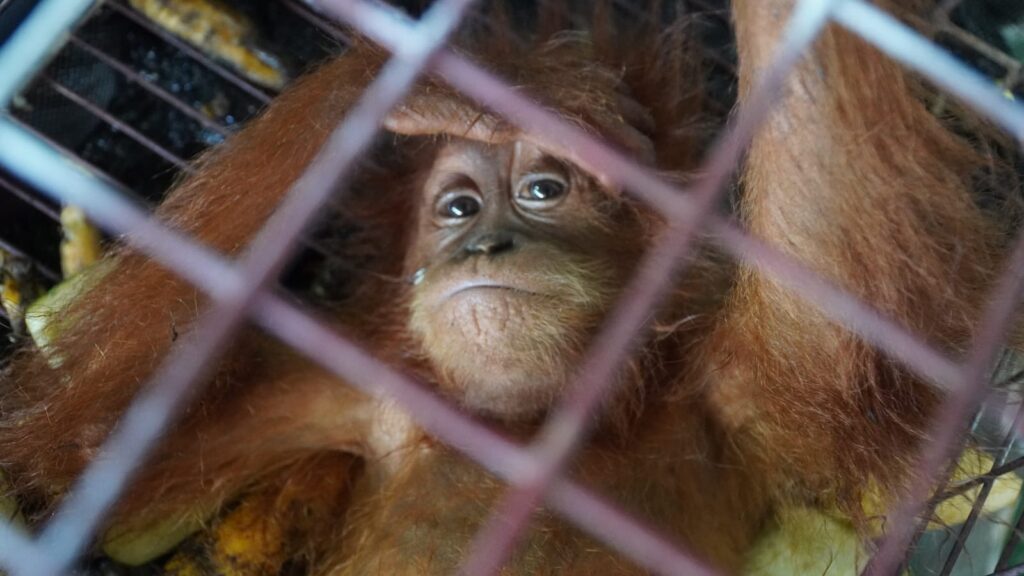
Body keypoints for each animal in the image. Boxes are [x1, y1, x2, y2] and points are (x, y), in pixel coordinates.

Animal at [0, 0, 1014, 574]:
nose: (486, 241)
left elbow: (839, 283)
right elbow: (70, 477)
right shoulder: (337, 394)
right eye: (456, 207)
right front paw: (457, 83)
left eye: (543, 192)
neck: (537, 424)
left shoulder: (743, 390)